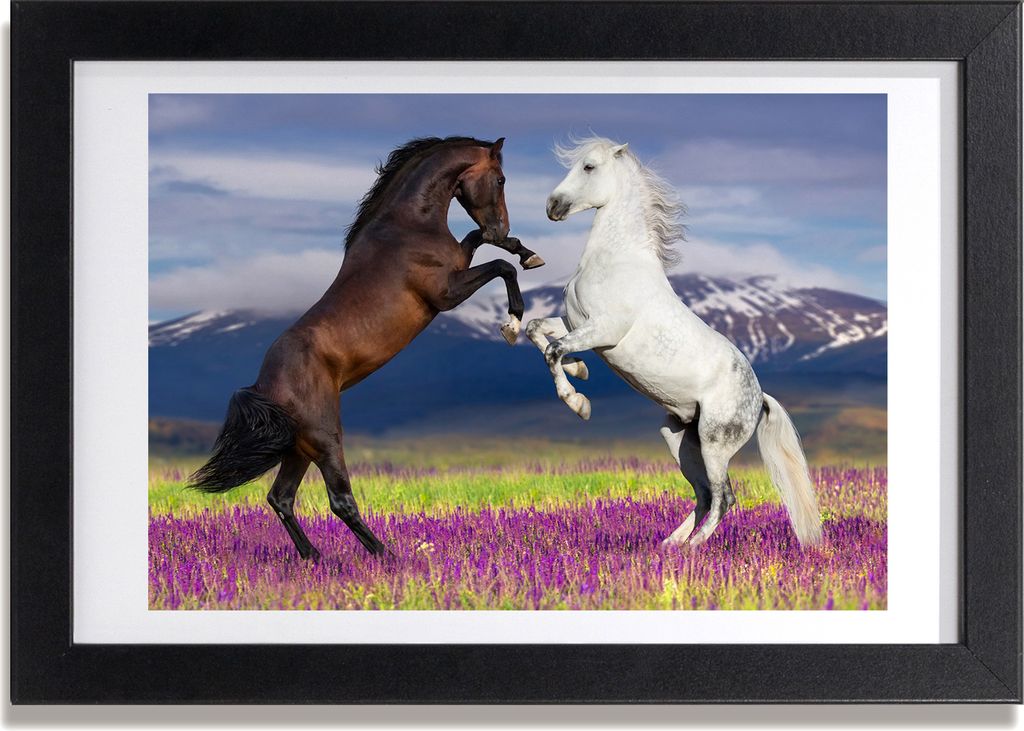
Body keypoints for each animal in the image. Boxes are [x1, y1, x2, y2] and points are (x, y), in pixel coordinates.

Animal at [188, 136, 544, 560]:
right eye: (501, 179)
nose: (500, 224)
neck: (408, 226)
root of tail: (263, 386)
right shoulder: (446, 293)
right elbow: (501, 268)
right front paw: (512, 322)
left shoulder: (459, 263)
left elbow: (483, 245)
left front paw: (525, 251)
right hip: (326, 439)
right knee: (339, 500)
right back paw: (386, 555)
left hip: (299, 448)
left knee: (281, 497)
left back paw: (314, 558)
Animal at [526, 136, 822, 549]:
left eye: (589, 167)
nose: (553, 207)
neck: (616, 260)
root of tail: (759, 398)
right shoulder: (575, 322)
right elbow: (536, 330)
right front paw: (580, 371)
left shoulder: (602, 330)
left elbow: (554, 350)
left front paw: (578, 403)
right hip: (679, 438)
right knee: (704, 494)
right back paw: (671, 545)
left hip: (715, 443)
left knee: (724, 496)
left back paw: (694, 548)